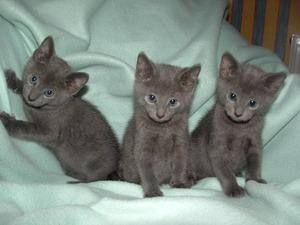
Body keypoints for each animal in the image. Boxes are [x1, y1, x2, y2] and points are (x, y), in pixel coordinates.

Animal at [0, 36, 119, 182]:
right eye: (34, 78)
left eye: (49, 93)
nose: (31, 98)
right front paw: (11, 79)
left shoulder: (51, 132)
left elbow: (29, 128)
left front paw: (7, 122)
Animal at [118, 52, 200, 197]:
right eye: (152, 97)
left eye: (173, 101)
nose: (160, 114)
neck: (162, 128)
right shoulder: (142, 140)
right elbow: (147, 169)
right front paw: (152, 191)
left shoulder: (181, 139)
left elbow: (180, 162)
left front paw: (179, 182)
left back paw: (190, 178)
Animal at [190, 51, 286, 196]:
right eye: (232, 96)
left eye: (252, 103)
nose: (238, 113)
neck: (239, 128)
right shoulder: (217, 143)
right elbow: (224, 170)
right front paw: (233, 188)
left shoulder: (255, 140)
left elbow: (255, 161)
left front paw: (255, 180)